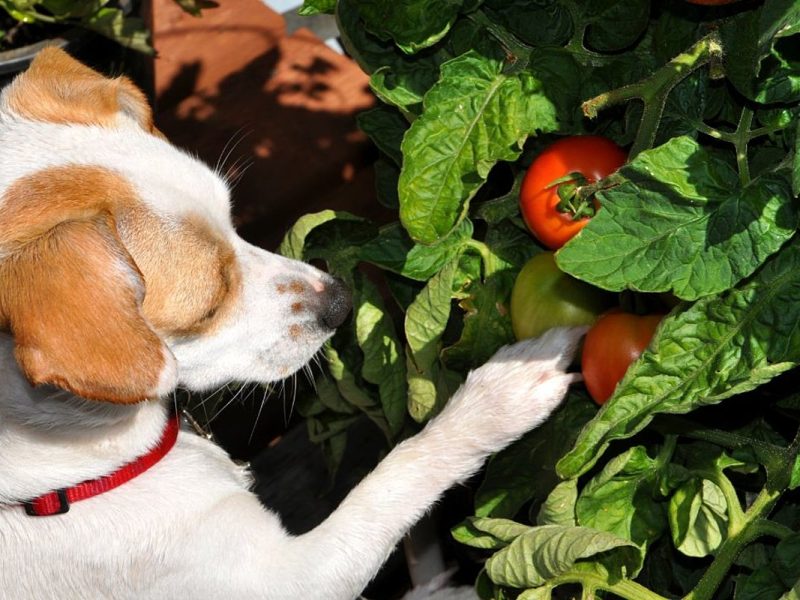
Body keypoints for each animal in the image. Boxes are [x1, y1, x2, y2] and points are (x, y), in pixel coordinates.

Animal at [0, 49, 580, 600]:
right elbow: (400, 471)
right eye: (208, 306)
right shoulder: (295, 577)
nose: (341, 302)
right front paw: (500, 395)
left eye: (233, 220)